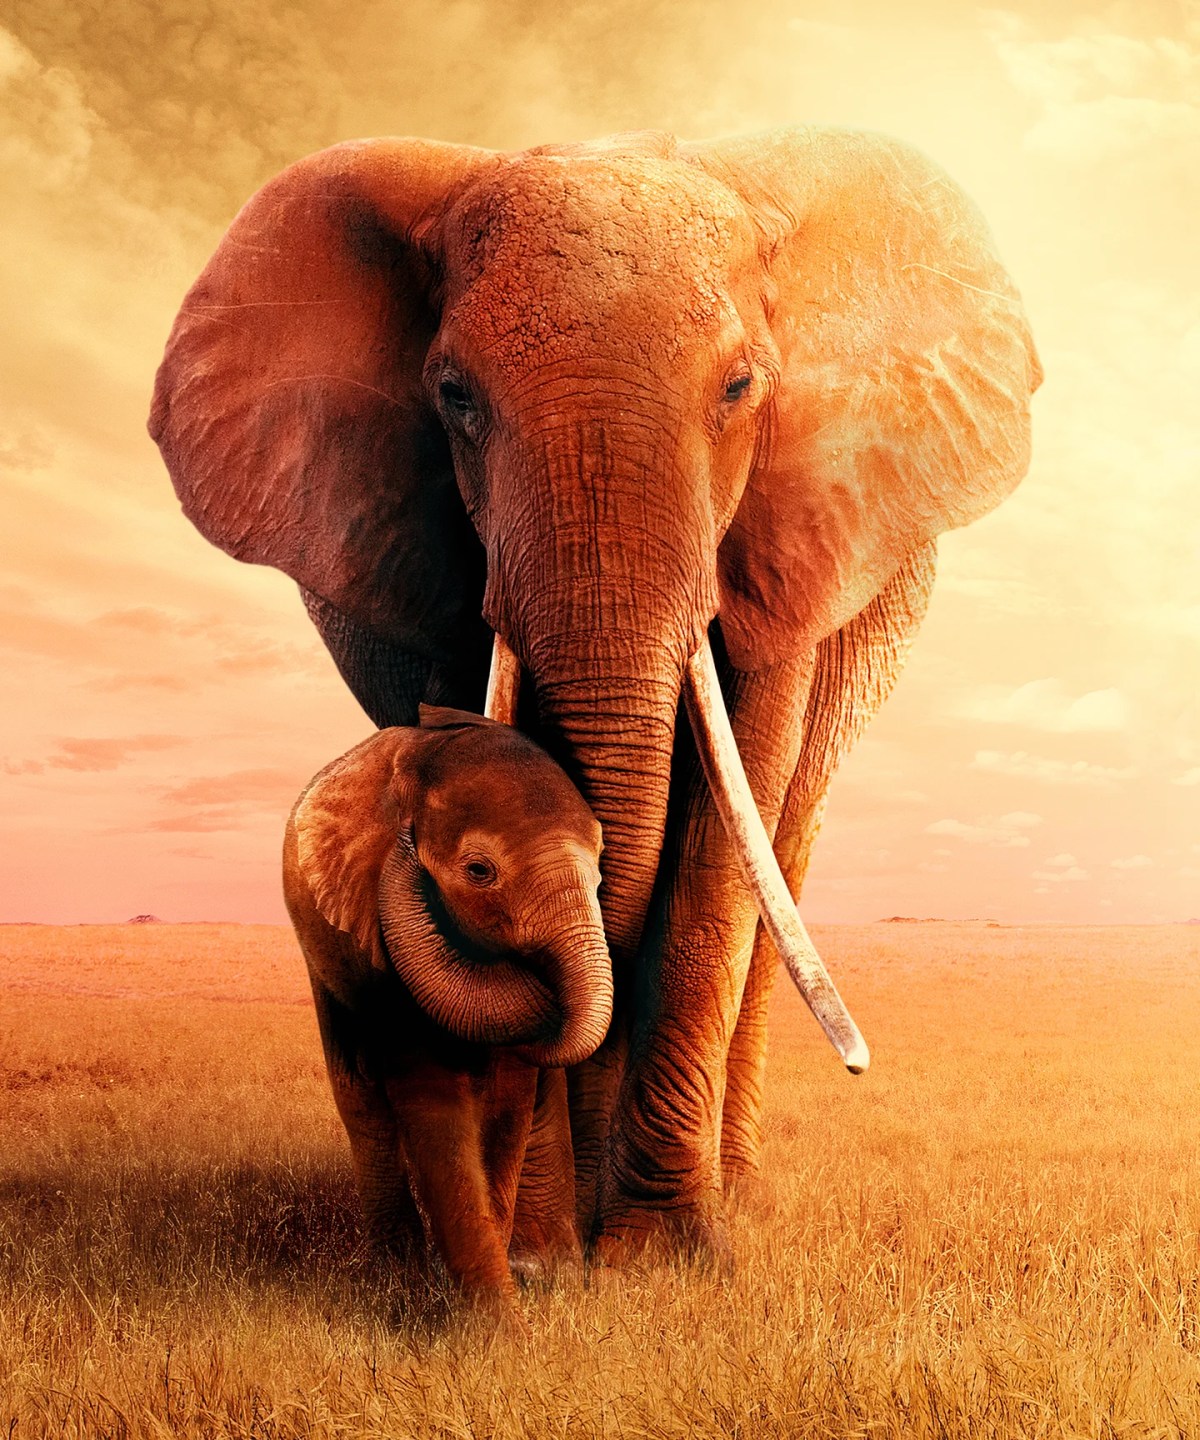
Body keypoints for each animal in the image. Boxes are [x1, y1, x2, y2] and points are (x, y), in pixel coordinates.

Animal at [283, 704, 611, 1299]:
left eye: (600, 864)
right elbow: (429, 1086)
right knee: (360, 1099)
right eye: (479, 871)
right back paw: (396, 1272)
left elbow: (508, 1100)